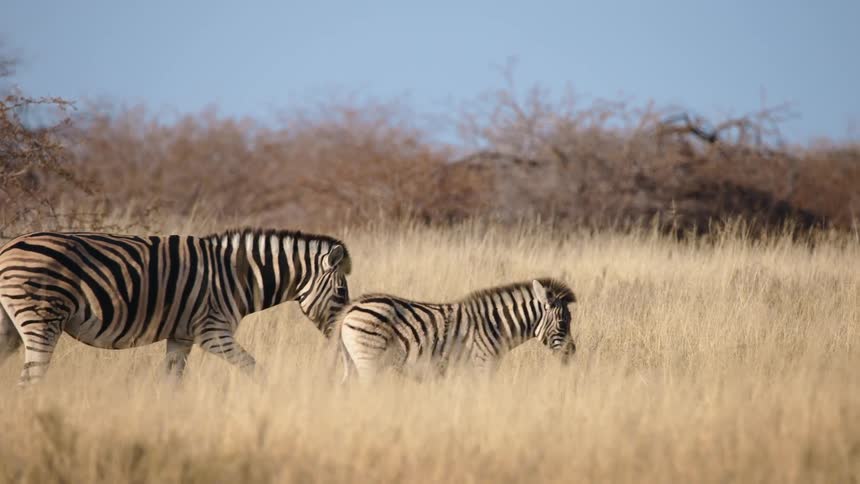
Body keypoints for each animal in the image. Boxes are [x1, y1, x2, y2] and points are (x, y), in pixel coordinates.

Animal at [0, 228, 351, 386]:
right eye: (340, 293)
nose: (341, 340)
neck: (237, 276)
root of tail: (8, 246)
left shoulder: (181, 336)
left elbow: (171, 383)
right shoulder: (213, 332)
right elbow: (255, 368)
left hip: (9, 327)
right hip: (41, 320)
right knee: (30, 380)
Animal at [337, 278, 576, 382]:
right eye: (563, 323)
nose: (572, 352)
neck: (494, 325)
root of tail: (351, 308)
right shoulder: (482, 365)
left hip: (355, 361)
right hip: (369, 358)